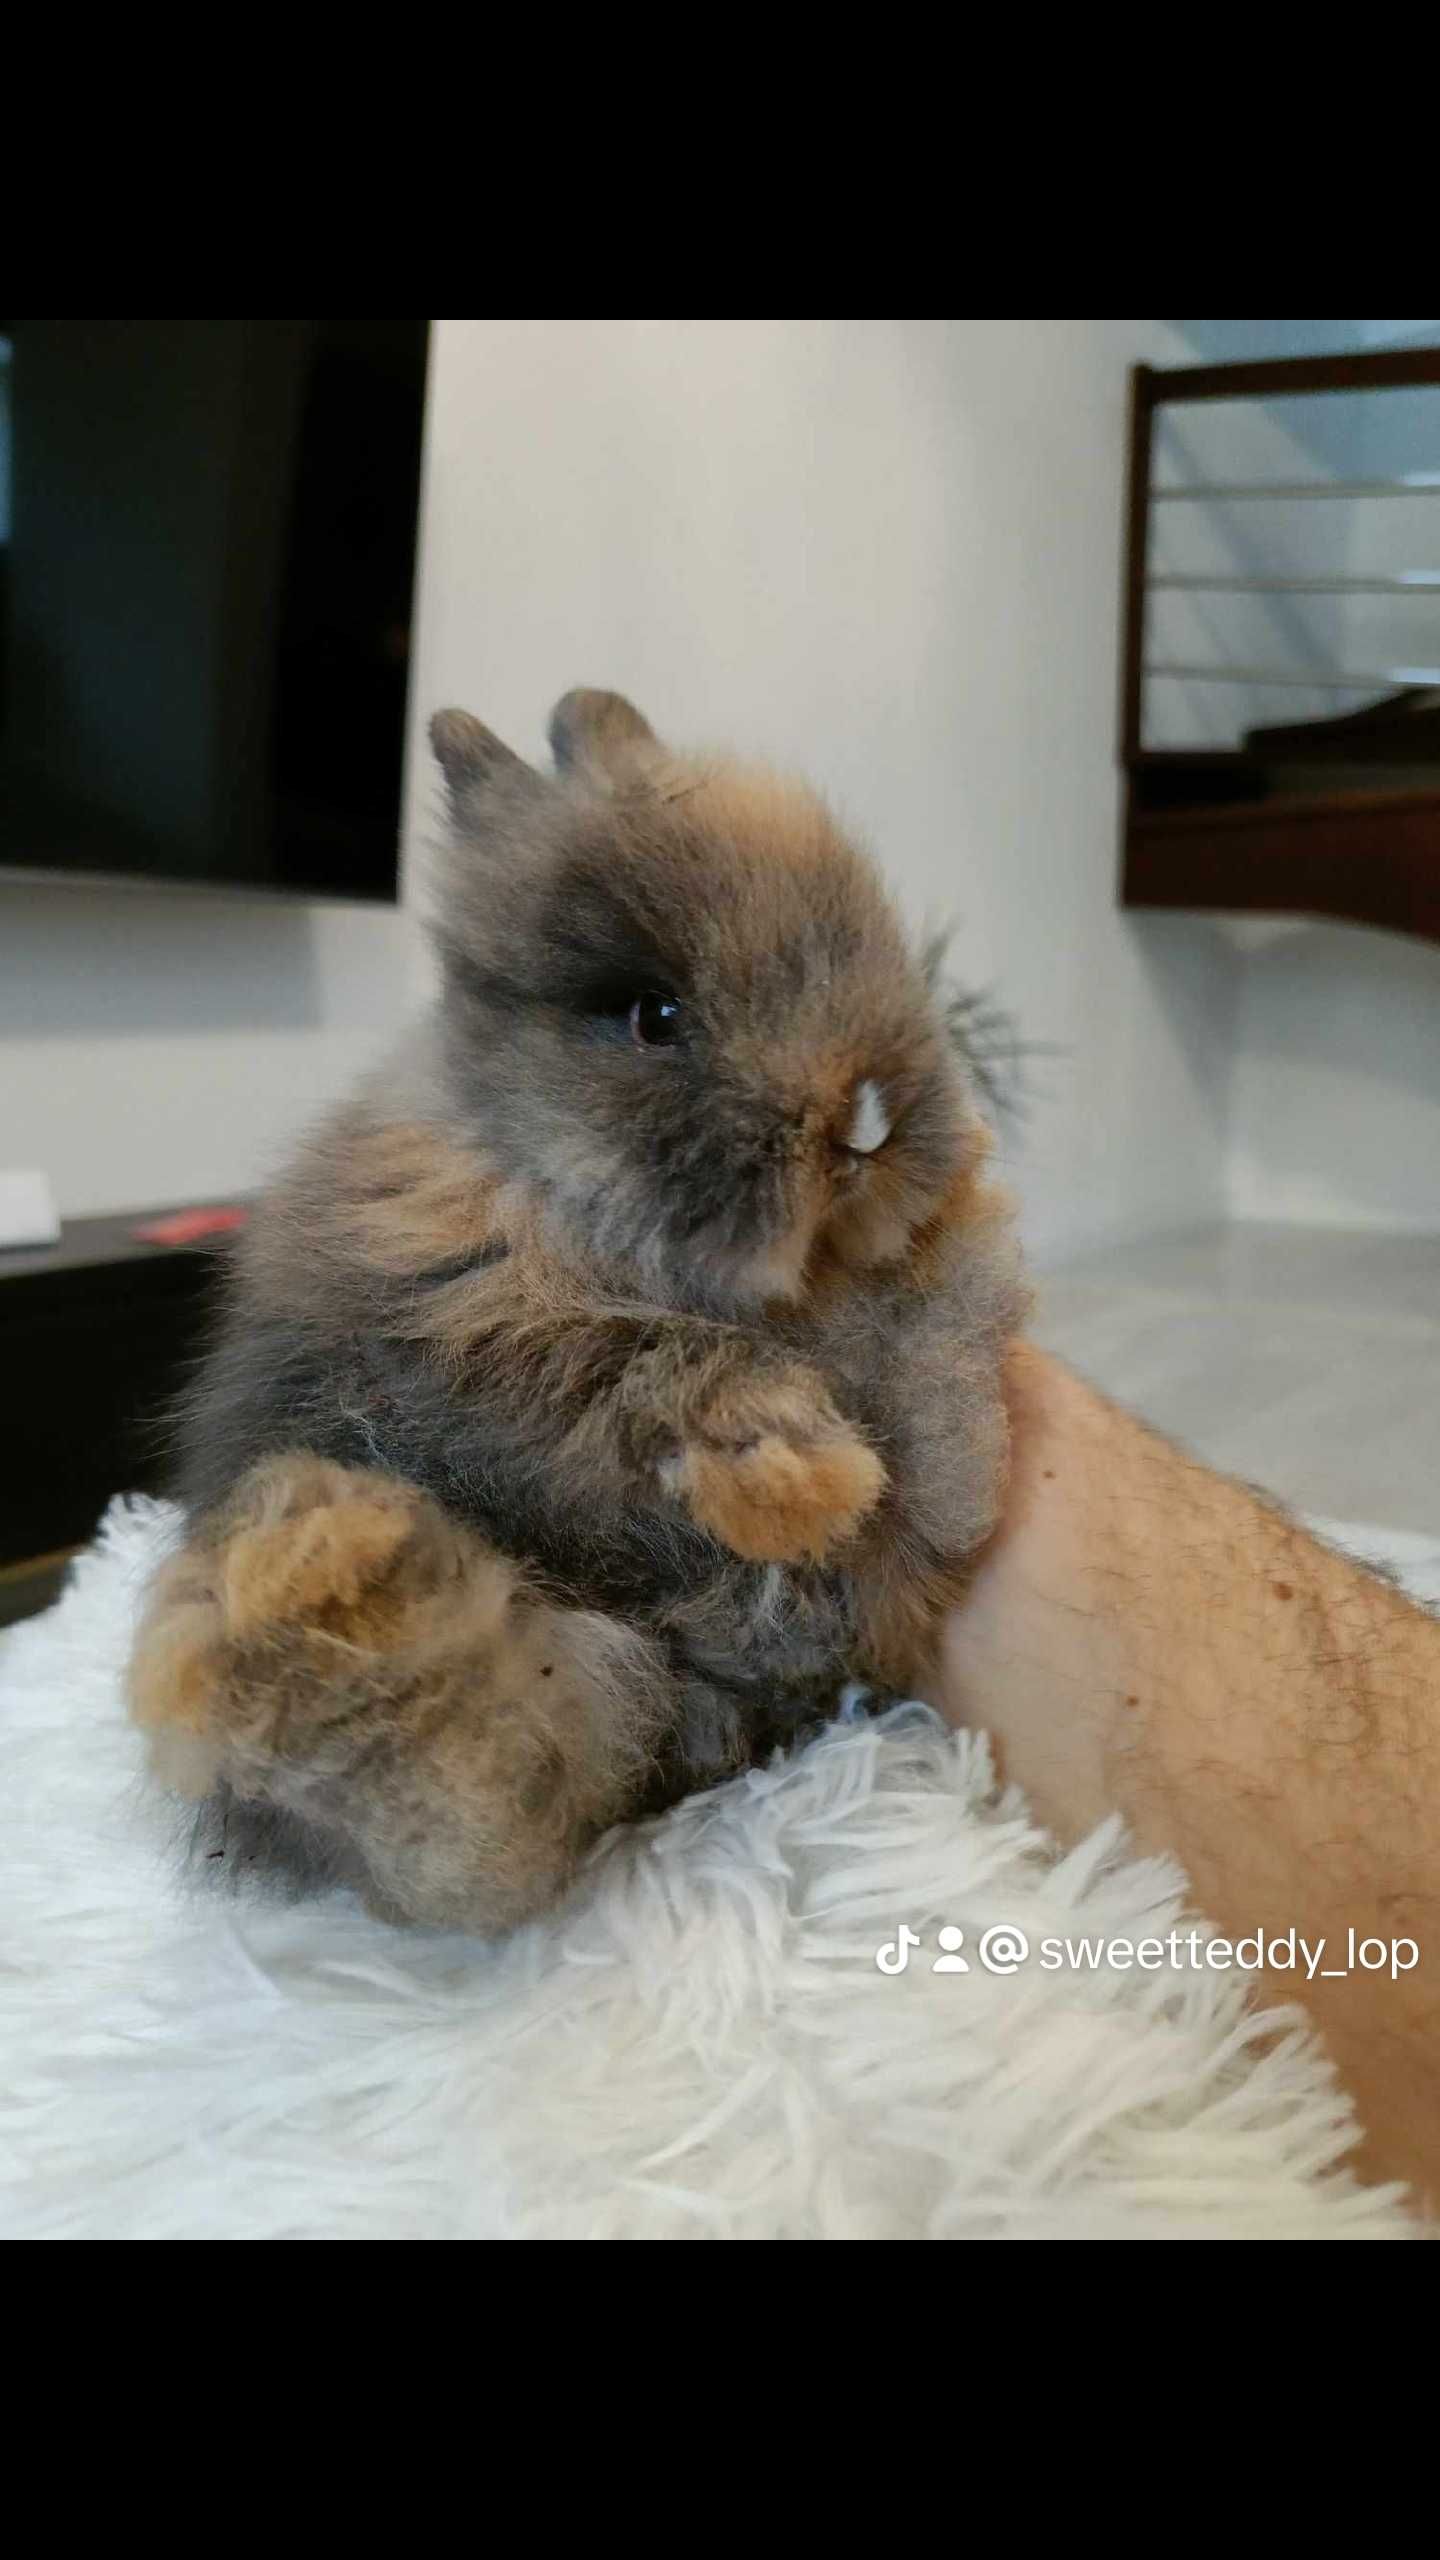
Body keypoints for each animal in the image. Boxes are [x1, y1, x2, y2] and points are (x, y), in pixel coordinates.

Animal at [126, 691, 1019, 1925]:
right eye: (654, 1015)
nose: (873, 1125)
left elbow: (922, 1396)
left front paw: (949, 1315)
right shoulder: (460, 1335)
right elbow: (635, 1368)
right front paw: (799, 1464)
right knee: (463, 1792)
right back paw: (322, 1578)